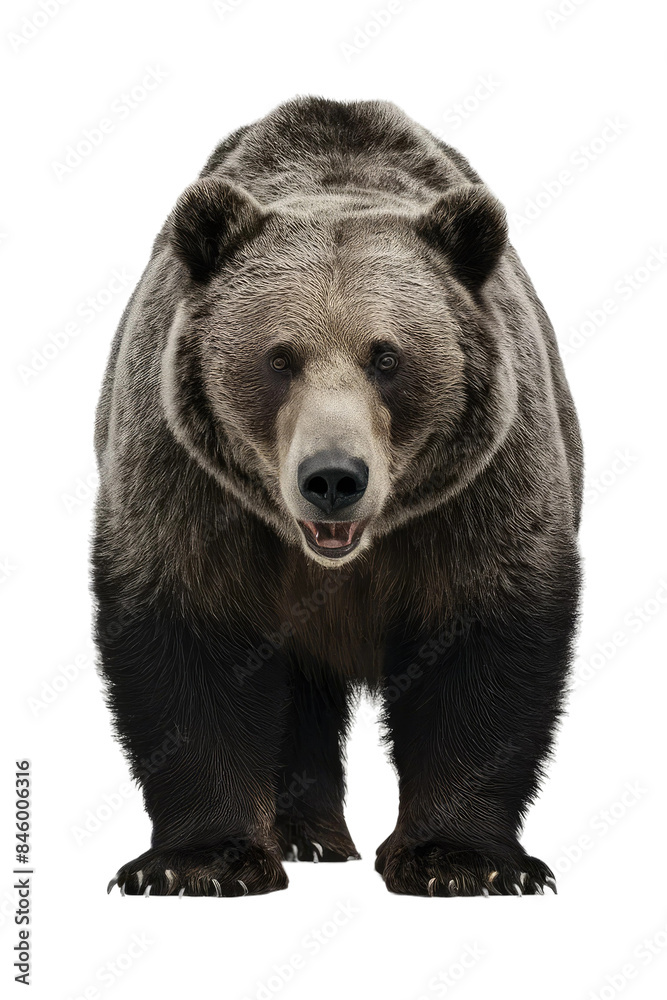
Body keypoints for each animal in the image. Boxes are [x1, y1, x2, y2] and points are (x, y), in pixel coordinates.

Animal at [95, 96, 582, 898]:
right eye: (278, 359)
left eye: (387, 358)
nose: (332, 478)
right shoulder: (190, 482)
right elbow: (191, 635)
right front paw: (199, 862)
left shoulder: (476, 493)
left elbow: (481, 642)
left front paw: (465, 862)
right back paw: (306, 834)